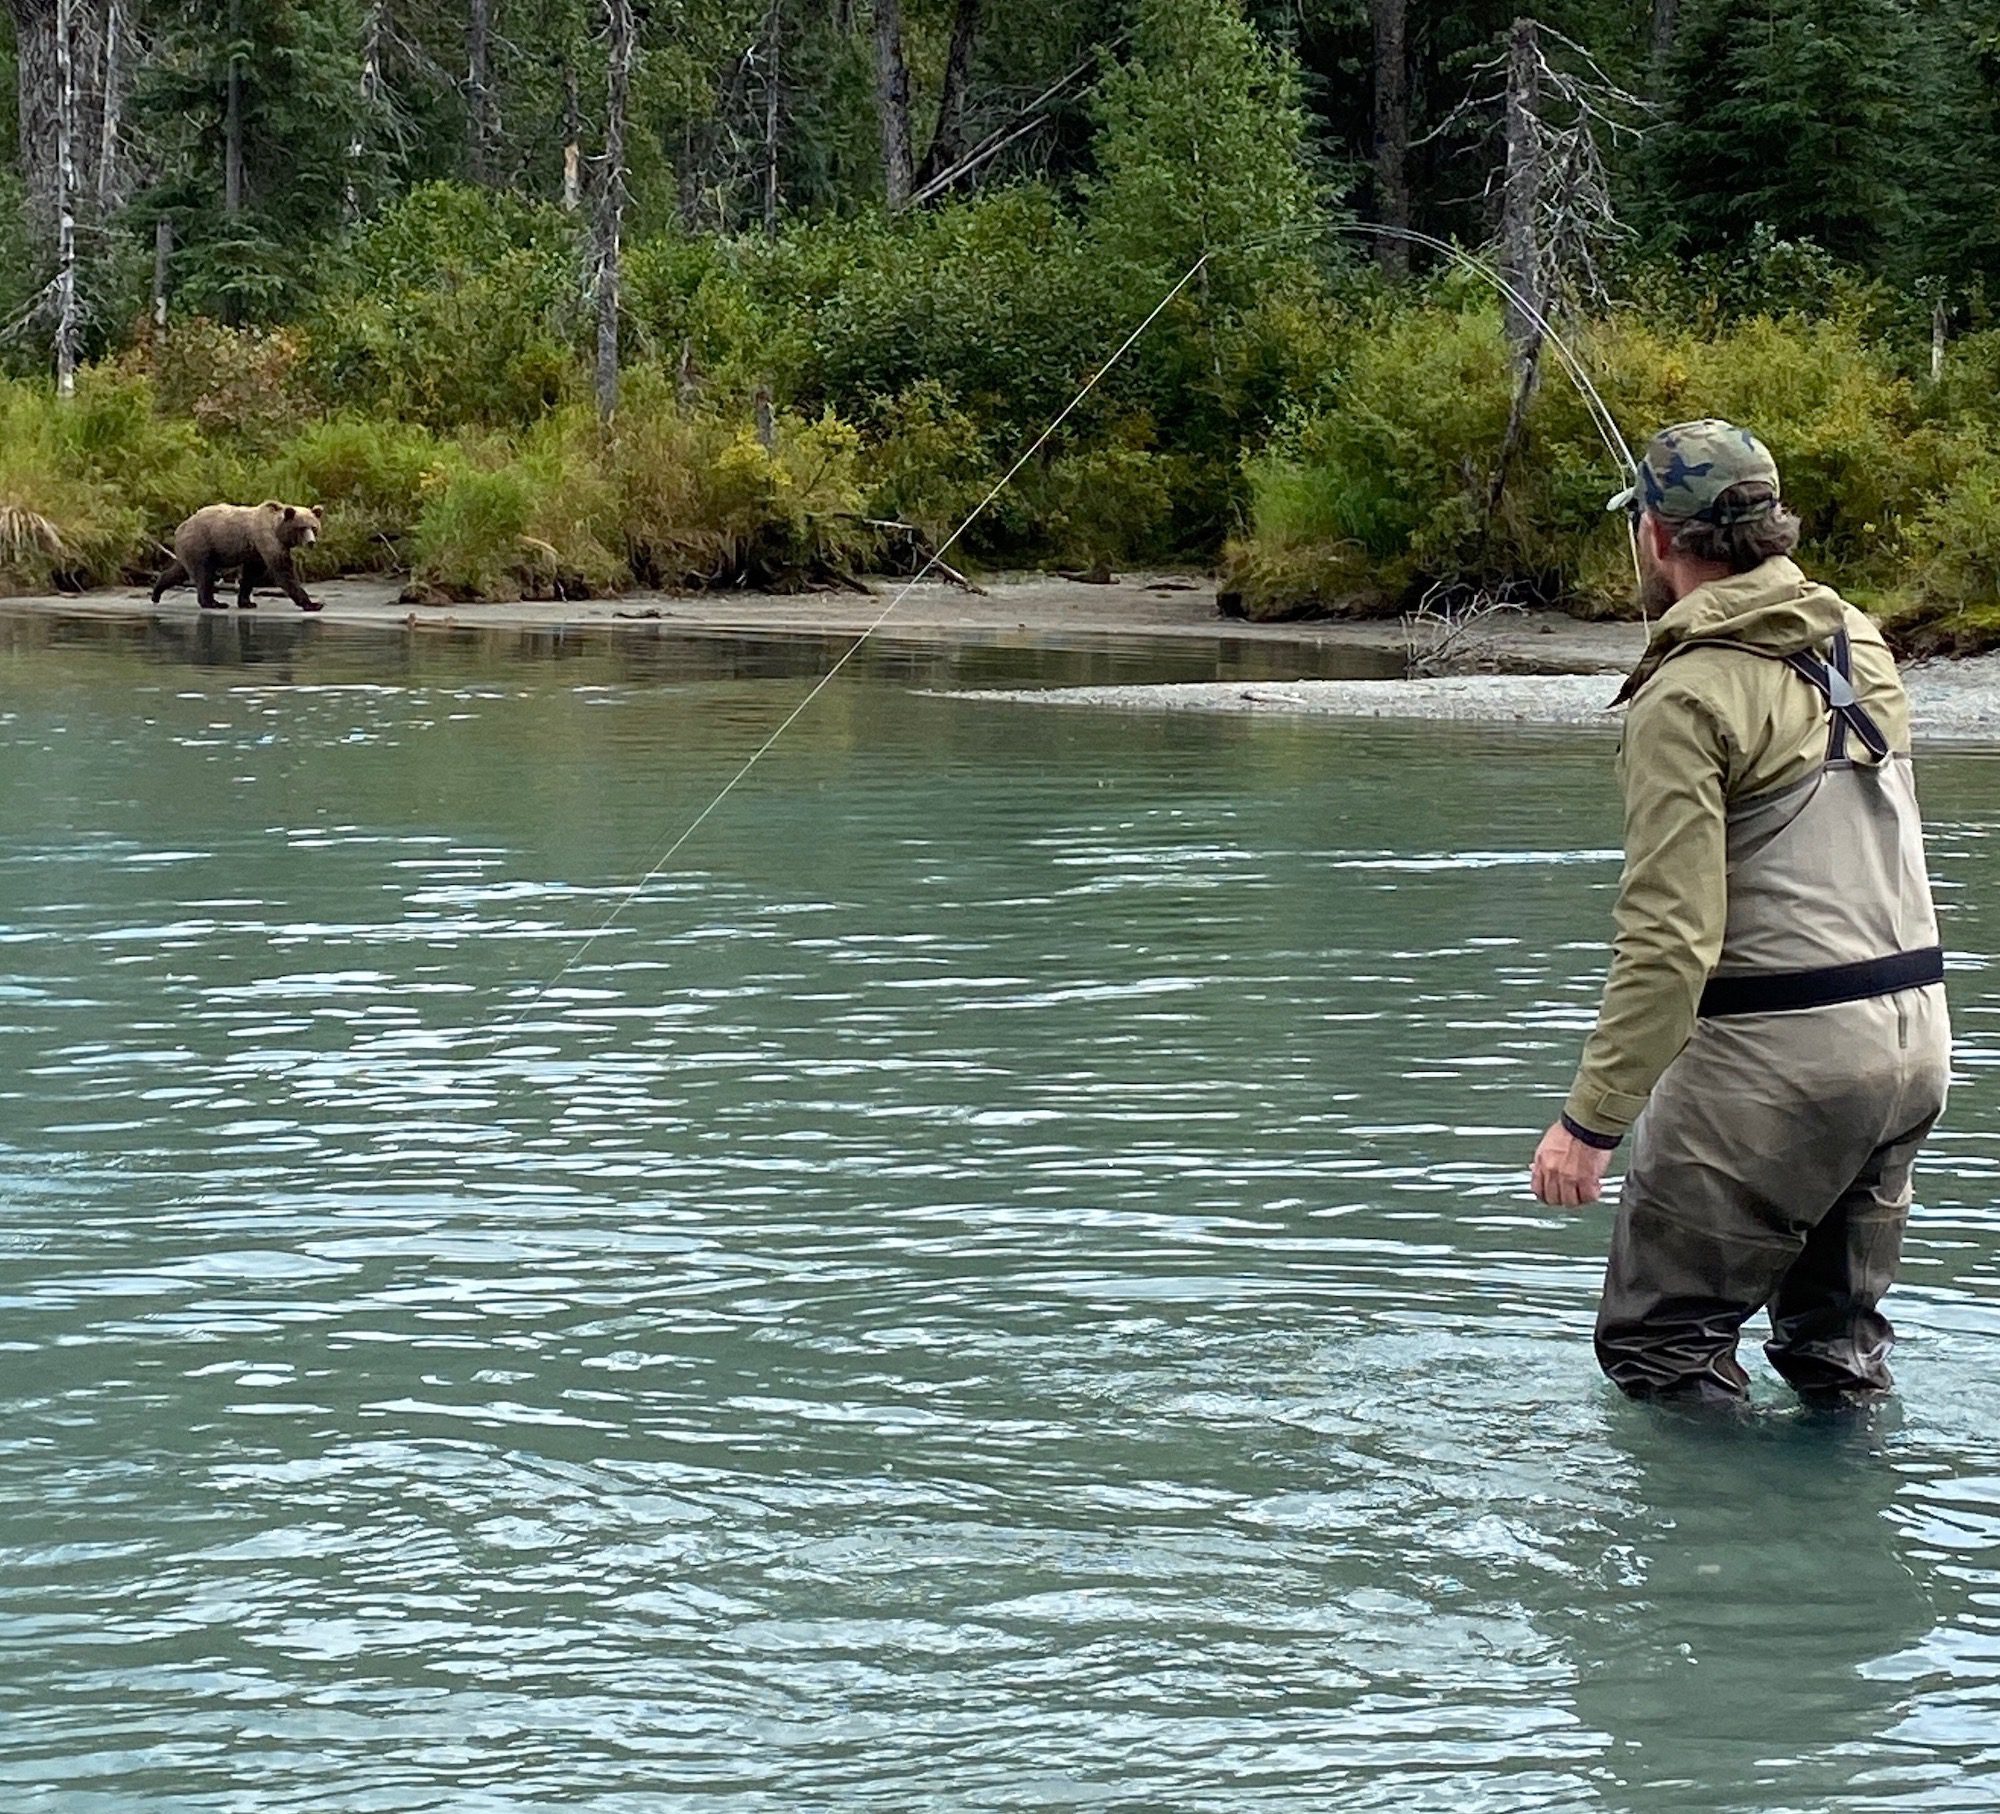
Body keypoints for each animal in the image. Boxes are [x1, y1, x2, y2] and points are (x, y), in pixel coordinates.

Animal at [150, 501, 326, 613]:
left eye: (314, 527)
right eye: (302, 527)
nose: (311, 542)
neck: (278, 531)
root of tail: (181, 527)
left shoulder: (255, 552)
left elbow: (251, 574)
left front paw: (247, 602)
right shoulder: (266, 539)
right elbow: (283, 571)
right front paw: (313, 604)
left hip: (192, 548)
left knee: (179, 571)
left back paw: (156, 592)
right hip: (201, 543)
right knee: (204, 574)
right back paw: (213, 602)